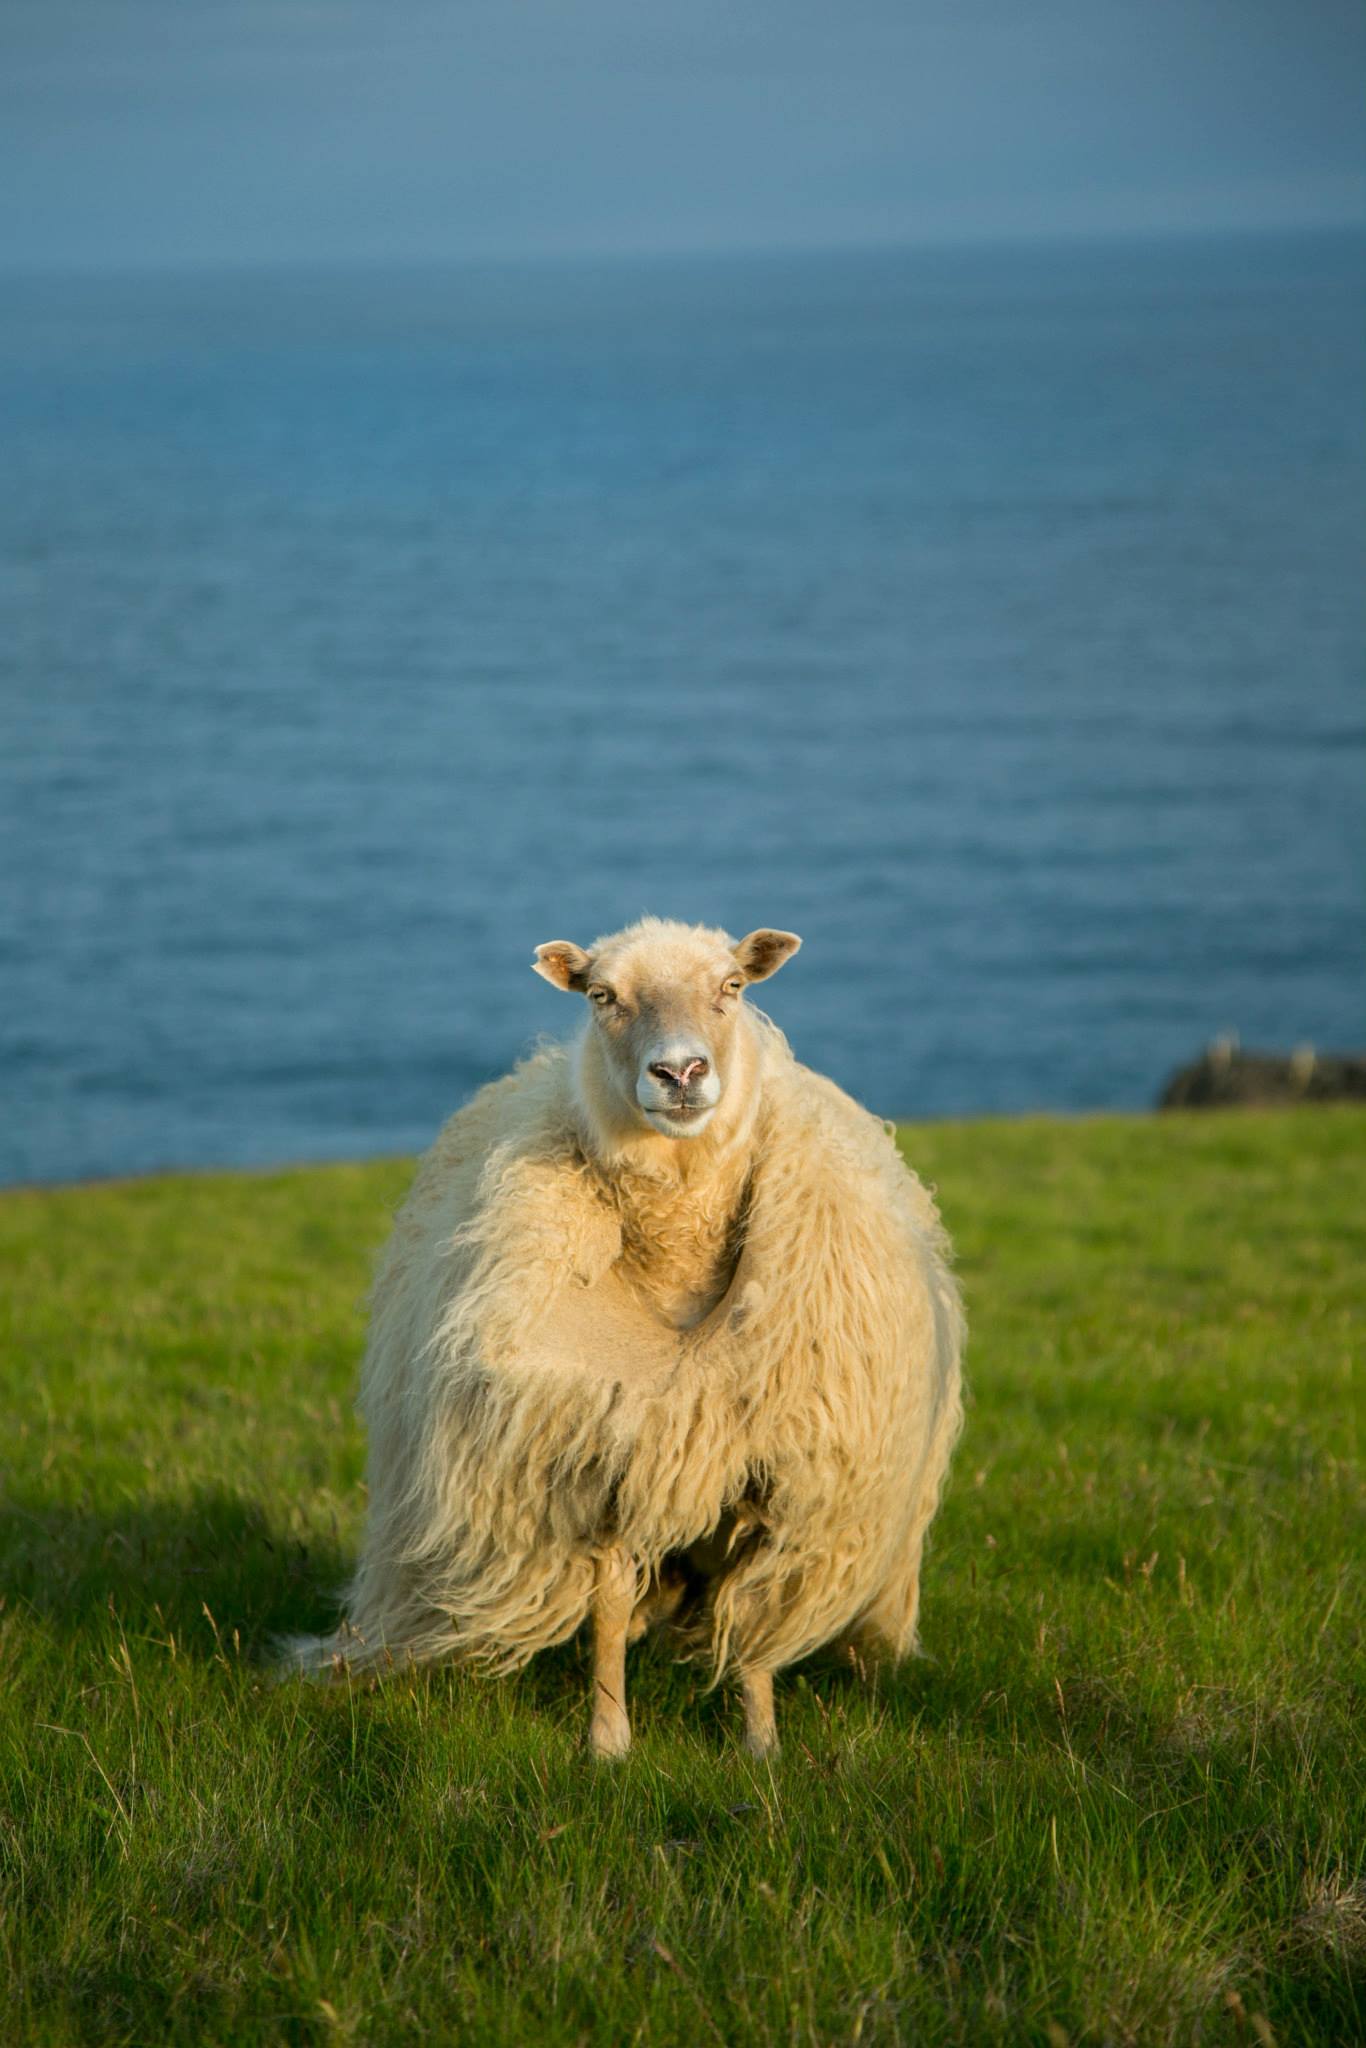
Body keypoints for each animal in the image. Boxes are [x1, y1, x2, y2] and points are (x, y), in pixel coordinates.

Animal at [282, 921, 966, 1753]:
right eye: (602, 996)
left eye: (732, 987)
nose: (679, 1071)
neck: (677, 1293)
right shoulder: (605, 1462)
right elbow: (608, 1610)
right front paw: (608, 1740)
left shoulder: (785, 1488)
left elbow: (756, 1625)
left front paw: (760, 1743)